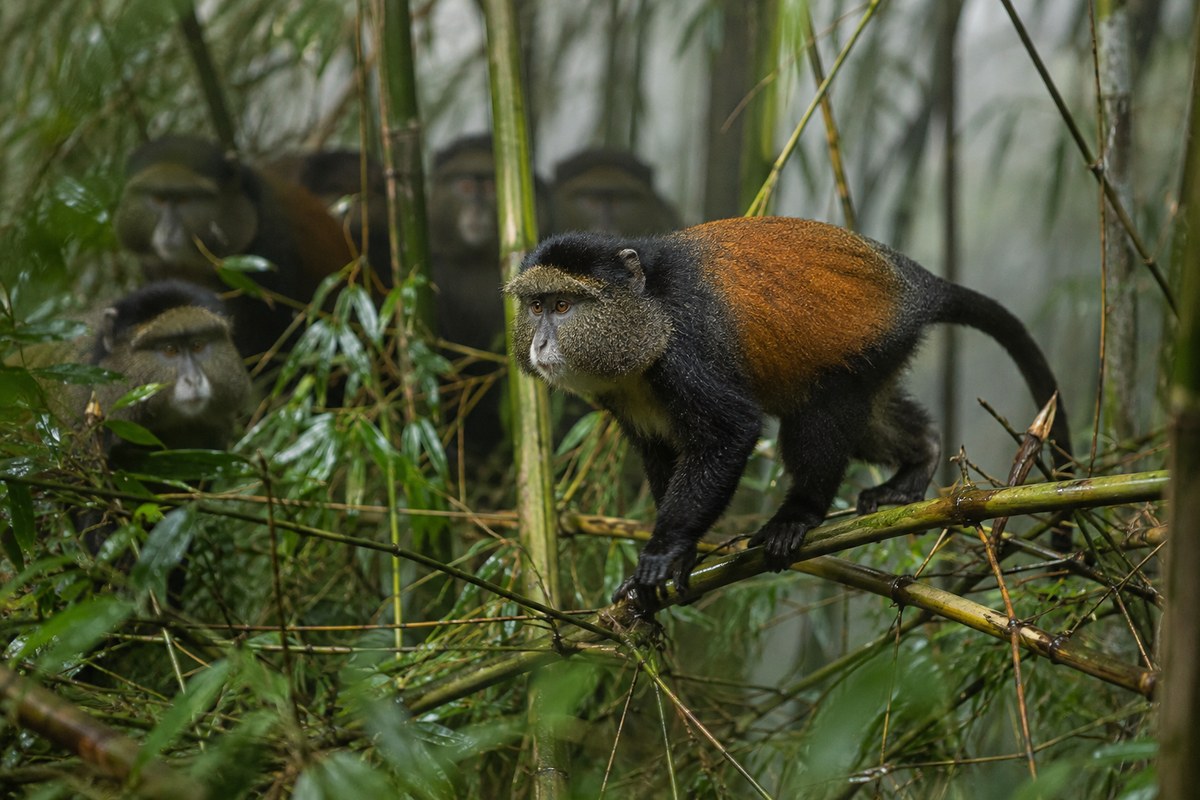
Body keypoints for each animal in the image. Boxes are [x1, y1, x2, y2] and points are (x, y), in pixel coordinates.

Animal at [505, 217, 1072, 604]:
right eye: (535, 306)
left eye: (563, 306)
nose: (540, 345)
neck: (648, 312)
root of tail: (915, 284)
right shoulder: (625, 397)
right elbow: (662, 453)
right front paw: (679, 559)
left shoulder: (687, 350)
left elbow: (731, 433)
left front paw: (664, 553)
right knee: (870, 422)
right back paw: (919, 460)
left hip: (869, 347)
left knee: (817, 419)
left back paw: (800, 514)